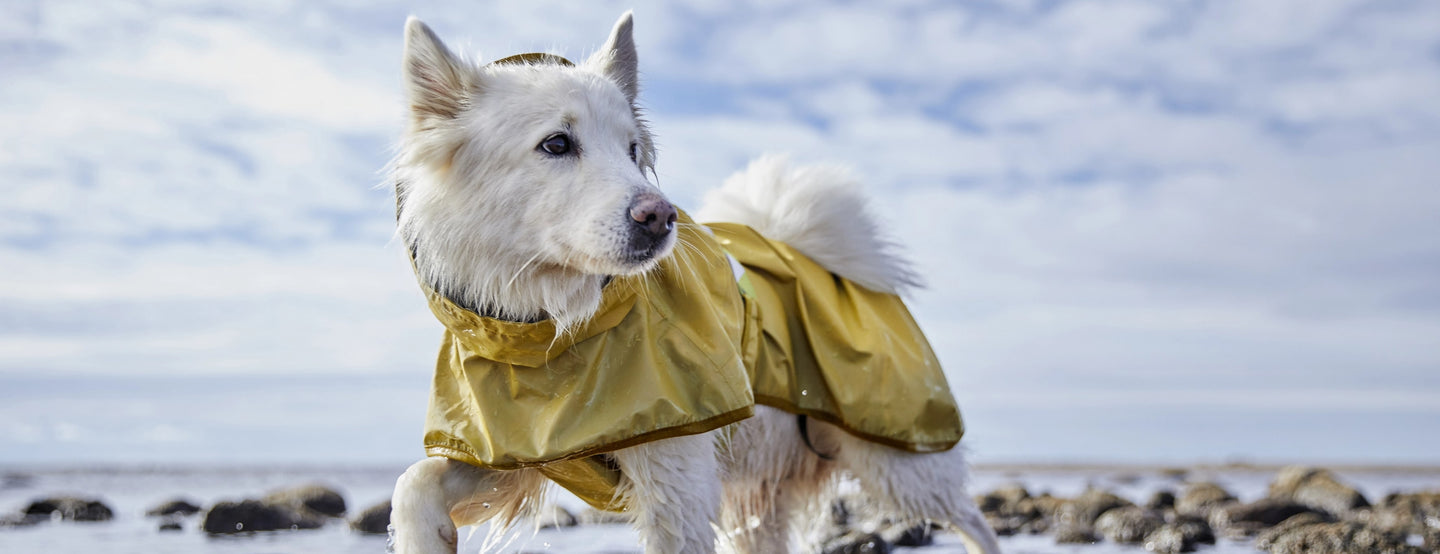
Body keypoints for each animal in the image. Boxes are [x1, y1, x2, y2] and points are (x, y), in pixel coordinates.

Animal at [388, 9, 1008, 552]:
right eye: (556, 144)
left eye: (632, 151)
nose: (661, 217)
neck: (551, 336)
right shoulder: (520, 453)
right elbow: (412, 482)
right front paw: (431, 538)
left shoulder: (675, 478)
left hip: (901, 459)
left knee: (974, 519)